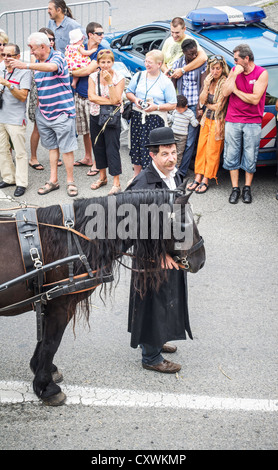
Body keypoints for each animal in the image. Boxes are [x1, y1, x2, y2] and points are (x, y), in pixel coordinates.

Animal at [0, 185, 204, 406]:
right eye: (184, 224)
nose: (201, 259)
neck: (74, 238)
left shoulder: (47, 300)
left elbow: (44, 341)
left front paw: (42, 370)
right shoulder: (61, 305)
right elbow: (50, 343)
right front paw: (46, 387)